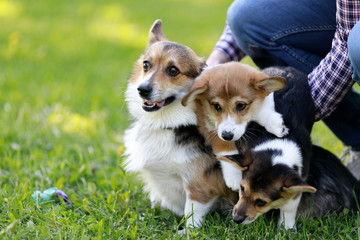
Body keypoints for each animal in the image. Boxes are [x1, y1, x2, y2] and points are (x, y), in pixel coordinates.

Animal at [122, 19, 238, 232]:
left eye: (173, 70)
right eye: (146, 65)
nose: (142, 89)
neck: (166, 123)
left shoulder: (199, 184)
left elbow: (192, 213)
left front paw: (186, 232)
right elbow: (157, 200)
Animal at [181, 62, 288, 191]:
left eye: (241, 105)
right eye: (216, 106)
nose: (227, 135)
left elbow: (260, 109)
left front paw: (275, 124)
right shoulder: (207, 126)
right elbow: (226, 149)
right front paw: (234, 176)